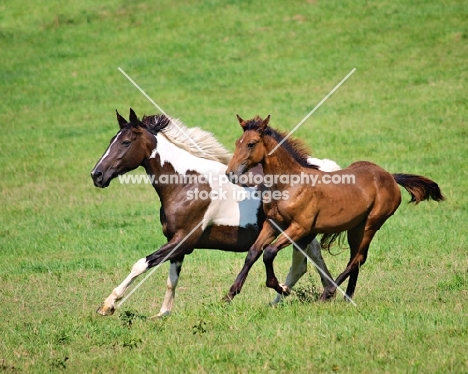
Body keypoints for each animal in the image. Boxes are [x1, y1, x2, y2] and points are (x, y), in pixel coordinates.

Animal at [90, 109, 340, 316]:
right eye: (112, 141)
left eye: (126, 142)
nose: (97, 175)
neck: (186, 183)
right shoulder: (178, 244)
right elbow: (172, 280)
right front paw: (162, 314)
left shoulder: (184, 239)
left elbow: (141, 263)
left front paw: (108, 305)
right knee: (307, 263)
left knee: (300, 265)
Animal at [223, 115, 442, 302]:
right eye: (237, 143)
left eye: (251, 143)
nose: (230, 174)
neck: (290, 184)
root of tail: (390, 176)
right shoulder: (273, 223)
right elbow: (253, 252)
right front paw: (230, 294)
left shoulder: (300, 228)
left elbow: (269, 252)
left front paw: (282, 288)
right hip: (356, 227)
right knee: (356, 258)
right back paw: (347, 297)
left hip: (371, 224)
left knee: (358, 259)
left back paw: (328, 293)